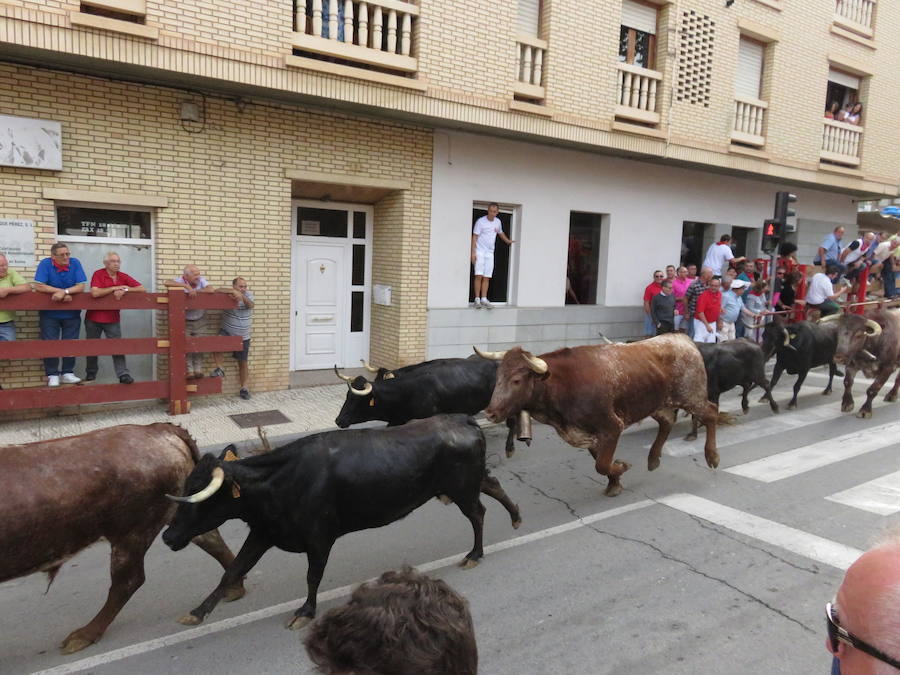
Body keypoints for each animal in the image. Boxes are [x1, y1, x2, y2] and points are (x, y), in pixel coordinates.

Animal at [0, 422, 246, 656]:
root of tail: (157, 429)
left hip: (132, 532)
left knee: (128, 581)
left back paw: (85, 635)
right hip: (176, 513)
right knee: (211, 540)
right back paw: (234, 588)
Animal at [162, 414, 520, 632]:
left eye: (200, 496)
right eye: (187, 484)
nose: (167, 537)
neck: (281, 480)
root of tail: (461, 418)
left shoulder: (319, 538)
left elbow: (313, 575)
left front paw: (305, 612)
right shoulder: (263, 533)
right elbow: (232, 571)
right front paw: (197, 612)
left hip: (461, 488)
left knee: (477, 513)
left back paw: (475, 554)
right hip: (463, 484)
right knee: (493, 487)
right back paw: (515, 516)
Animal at [482, 336, 720, 500]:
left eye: (516, 380)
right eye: (498, 377)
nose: (490, 412)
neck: (563, 384)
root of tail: (682, 338)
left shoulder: (612, 427)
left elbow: (602, 464)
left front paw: (621, 467)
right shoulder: (589, 434)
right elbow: (601, 462)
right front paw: (614, 483)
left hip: (692, 396)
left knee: (711, 413)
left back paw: (712, 456)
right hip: (658, 403)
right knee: (667, 421)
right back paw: (653, 459)